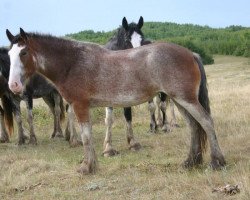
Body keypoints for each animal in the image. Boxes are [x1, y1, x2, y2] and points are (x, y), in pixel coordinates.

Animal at [6, 28, 227, 173]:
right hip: (180, 101)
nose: (13, 85)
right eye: (9, 54)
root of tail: (191, 53)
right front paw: (93, 163)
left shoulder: (80, 106)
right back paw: (191, 162)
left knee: (206, 122)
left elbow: (86, 137)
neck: (73, 62)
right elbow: (88, 135)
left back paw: (217, 162)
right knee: (194, 126)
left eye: (24, 52)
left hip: (185, 99)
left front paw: (87, 167)